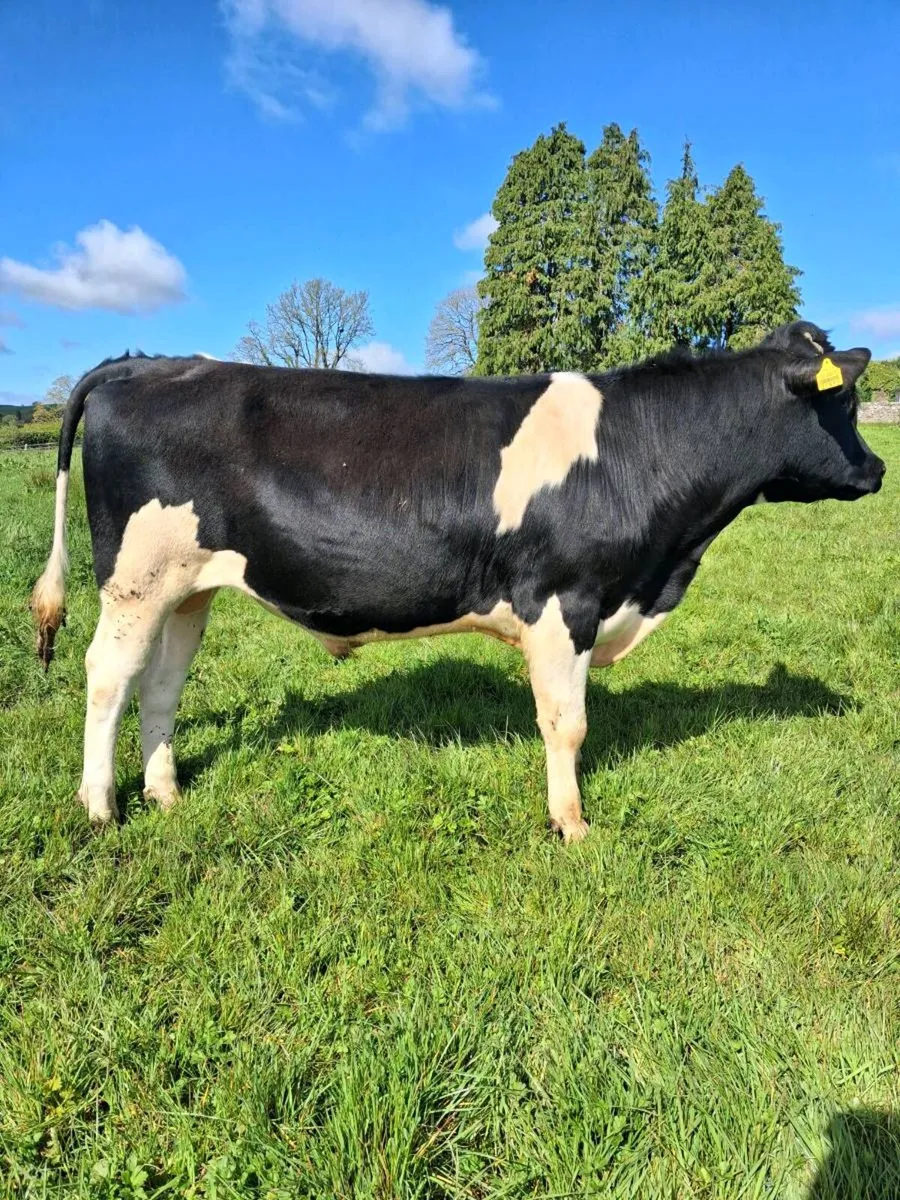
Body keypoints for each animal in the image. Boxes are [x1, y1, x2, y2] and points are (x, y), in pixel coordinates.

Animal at [31, 321, 884, 839]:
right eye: (841, 400)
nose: (878, 469)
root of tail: (148, 362)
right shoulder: (563, 601)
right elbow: (566, 724)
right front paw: (572, 824)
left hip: (189, 585)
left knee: (162, 683)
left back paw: (166, 793)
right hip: (134, 578)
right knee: (108, 675)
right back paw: (101, 806)